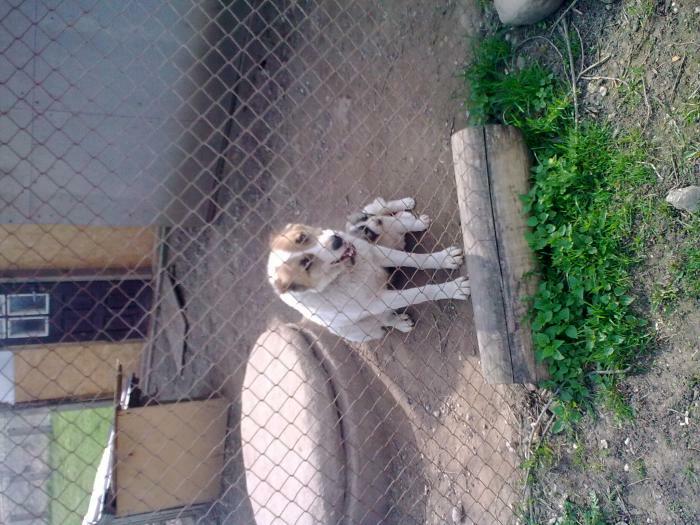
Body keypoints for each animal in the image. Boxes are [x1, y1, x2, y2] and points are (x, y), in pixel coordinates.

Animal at [268, 195, 470, 340]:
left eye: (302, 237)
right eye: (306, 263)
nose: (337, 240)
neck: (348, 271)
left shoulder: (376, 252)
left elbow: (415, 259)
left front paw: (444, 258)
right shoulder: (378, 301)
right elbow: (420, 293)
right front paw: (453, 288)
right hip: (363, 330)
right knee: (383, 321)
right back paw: (400, 322)